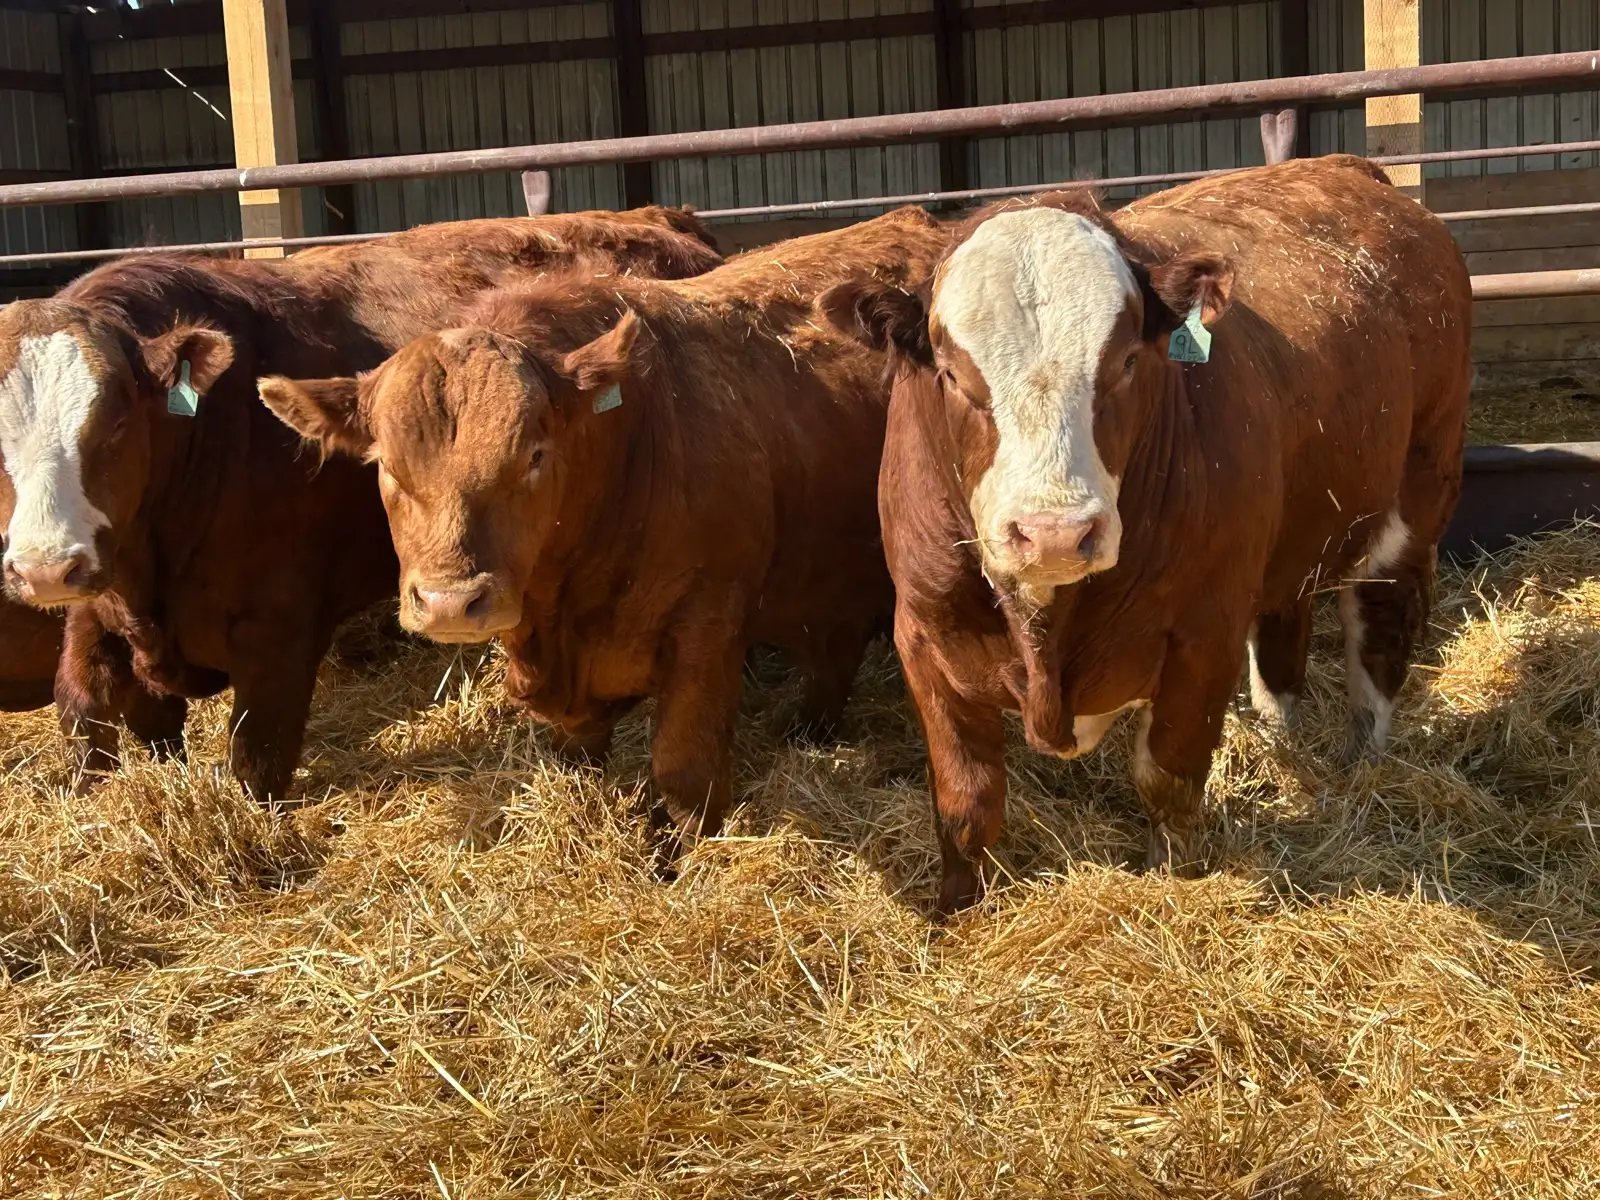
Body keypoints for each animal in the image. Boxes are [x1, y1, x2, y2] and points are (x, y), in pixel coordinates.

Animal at [0, 207, 723, 805]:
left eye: (118, 421)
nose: (43, 568)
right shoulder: (101, 608)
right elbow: (89, 711)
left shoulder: (279, 633)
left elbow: (256, 761)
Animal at [258, 206, 951, 846]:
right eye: (387, 465)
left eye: (535, 455)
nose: (451, 601)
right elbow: (581, 753)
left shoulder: (706, 632)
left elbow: (685, 773)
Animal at [818, 156, 1473, 914]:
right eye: (953, 374)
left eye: (1128, 362)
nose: (1053, 533)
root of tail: (1349, 169)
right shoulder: (923, 635)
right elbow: (965, 803)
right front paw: (955, 910)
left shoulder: (1204, 635)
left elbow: (1168, 780)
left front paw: (1172, 881)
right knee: (1285, 633)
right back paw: (1279, 738)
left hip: (1421, 487)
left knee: (1381, 629)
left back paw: (1363, 760)